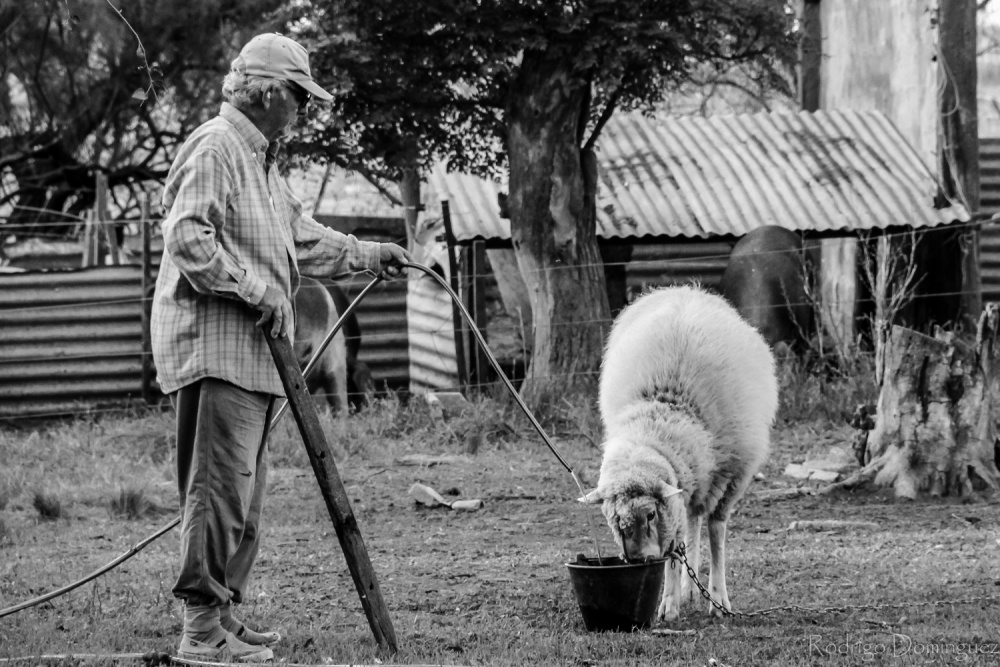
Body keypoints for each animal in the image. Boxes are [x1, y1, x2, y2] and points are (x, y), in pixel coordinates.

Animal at [584, 284, 776, 620]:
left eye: (650, 513)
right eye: (615, 518)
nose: (637, 560)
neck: (663, 414)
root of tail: (687, 289)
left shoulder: (731, 476)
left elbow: (716, 533)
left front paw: (718, 599)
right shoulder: (676, 494)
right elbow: (674, 547)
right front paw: (670, 602)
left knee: (699, 520)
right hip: (693, 478)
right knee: (691, 520)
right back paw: (688, 589)